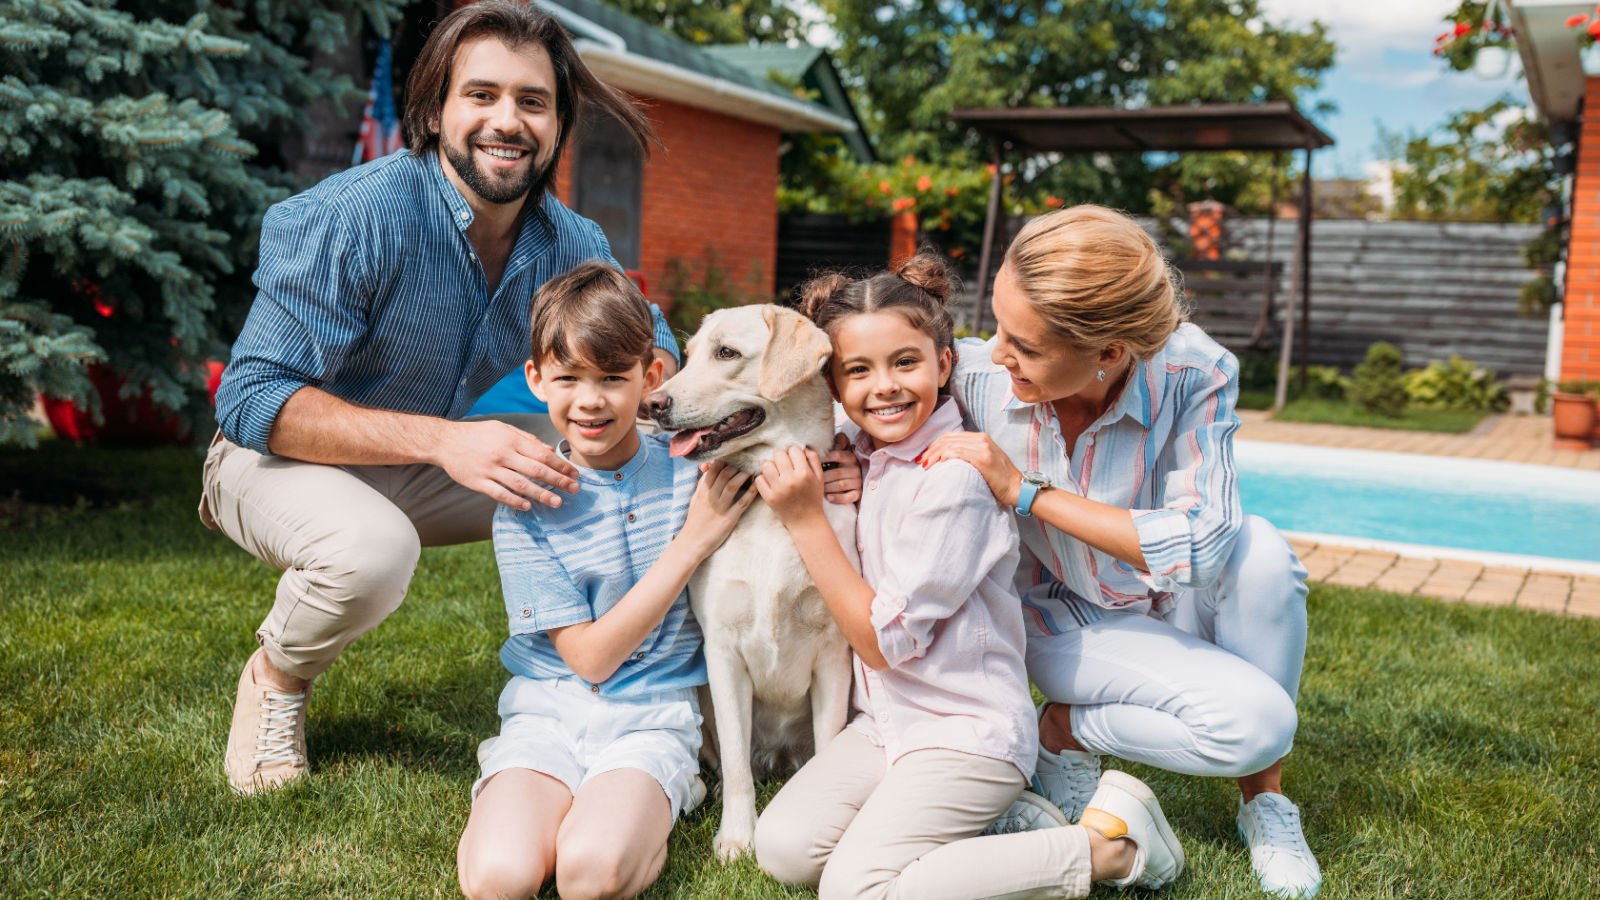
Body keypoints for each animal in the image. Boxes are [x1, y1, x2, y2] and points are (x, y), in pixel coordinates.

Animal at [643, 304, 857, 858]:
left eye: (727, 353)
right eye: (690, 353)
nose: (652, 404)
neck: (767, 502)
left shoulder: (832, 654)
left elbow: (827, 748)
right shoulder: (722, 653)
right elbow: (738, 764)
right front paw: (738, 839)